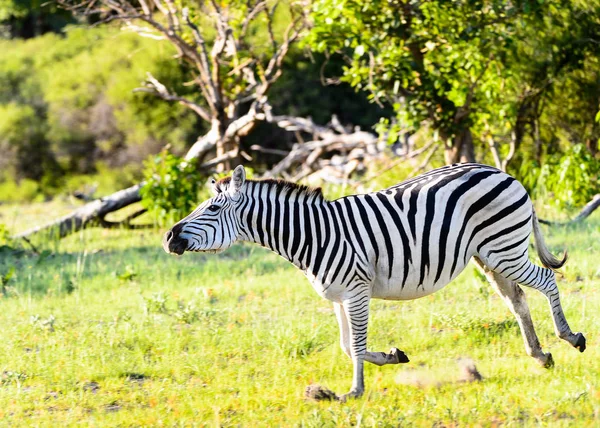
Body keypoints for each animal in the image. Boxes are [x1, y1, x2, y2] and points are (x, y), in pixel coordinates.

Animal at [163, 164, 584, 402]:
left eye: (212, 208)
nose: (169, 238)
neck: (312, 235)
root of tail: (504, 173)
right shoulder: (337, 297)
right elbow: (348, 346)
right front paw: (391, 358)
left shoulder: (356, 290)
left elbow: (357, 345)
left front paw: (354, 391)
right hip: (490, 256)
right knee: (517, 300)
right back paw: (540, 355)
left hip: (504, 248)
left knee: (547, 279)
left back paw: (570, 337)